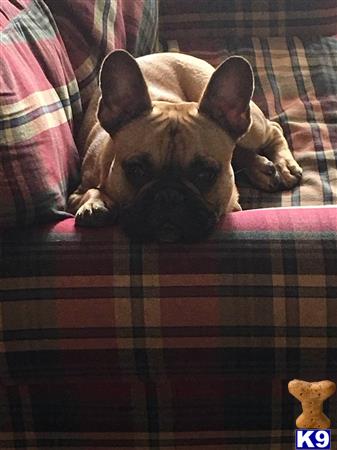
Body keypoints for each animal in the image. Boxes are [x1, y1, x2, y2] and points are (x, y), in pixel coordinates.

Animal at [68, 50, 302, 243]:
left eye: (206, 174)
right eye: (136, 170)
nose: (169, 196)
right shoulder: (76, 193)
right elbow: (90, 191)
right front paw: (95, 204)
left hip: (253, 130)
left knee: (273, 129)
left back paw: (284, 166)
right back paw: (261, 168)